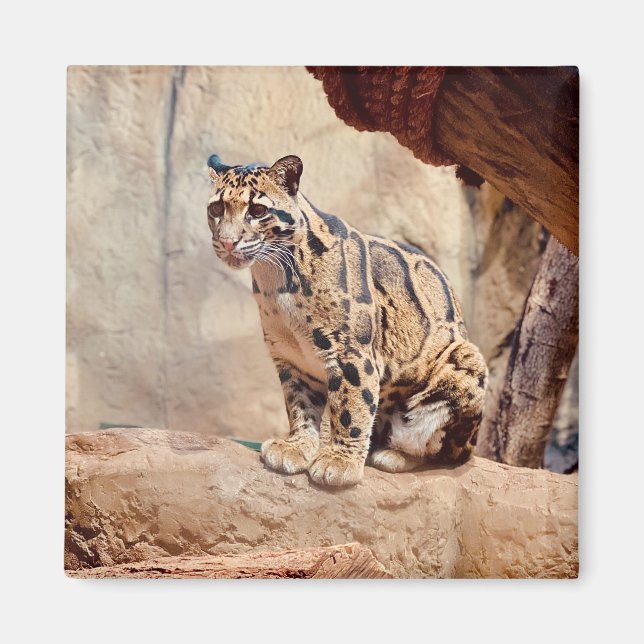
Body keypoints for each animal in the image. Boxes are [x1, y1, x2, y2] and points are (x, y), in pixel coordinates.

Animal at [206, 153, 488, 487]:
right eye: (216, 208)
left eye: (258, 210)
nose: (227, 242)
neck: (274, 278)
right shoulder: (291, 358)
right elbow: (299, 405)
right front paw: (297, 446)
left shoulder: (351, 352)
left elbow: (351, 407)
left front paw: (339, 462)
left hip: (466, 362)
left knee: (444, 451)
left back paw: (393, 455)